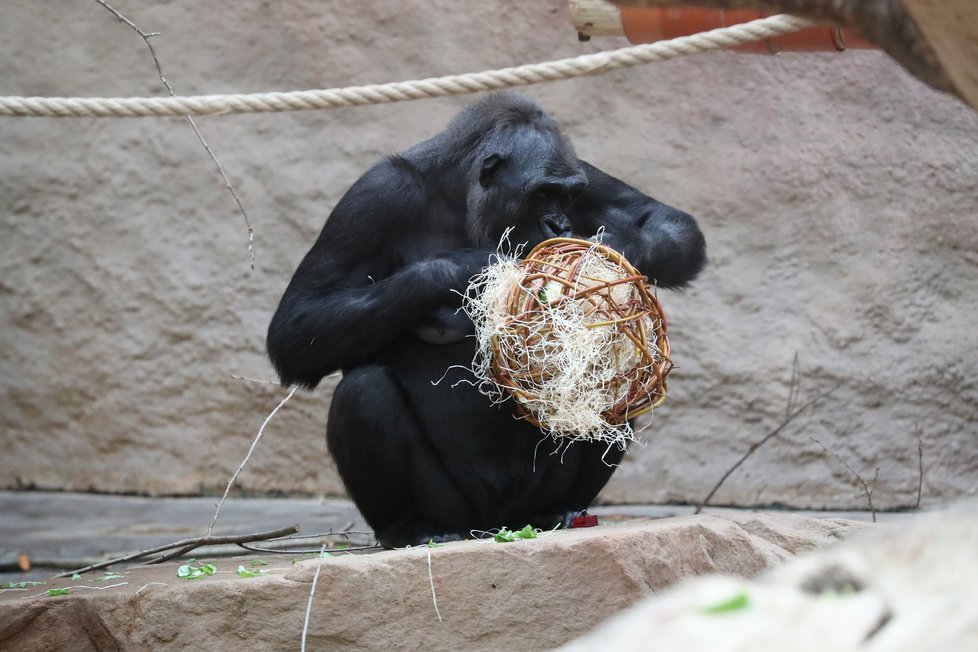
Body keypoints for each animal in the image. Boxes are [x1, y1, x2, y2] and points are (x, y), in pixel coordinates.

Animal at [266, 91, 704, 548]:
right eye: (542, 194)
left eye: (569, 196)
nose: (559, 221)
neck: (459, 195)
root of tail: (494, 526)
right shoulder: (374, 197)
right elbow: (299, 323)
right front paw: (472, 266)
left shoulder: (586, 173)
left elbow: (662, 220)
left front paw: (600, 259)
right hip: (454, 507)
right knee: (362, 390)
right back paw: (409, 528)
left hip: (530, 498)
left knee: (618, 387)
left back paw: (561, 511)